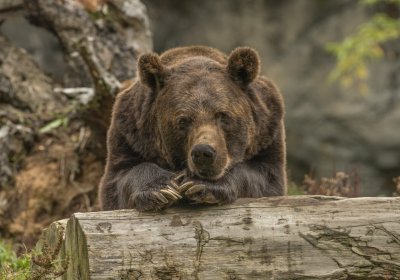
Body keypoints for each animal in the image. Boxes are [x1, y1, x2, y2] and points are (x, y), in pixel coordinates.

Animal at [100, 45, 288, 210]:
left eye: (223, 115)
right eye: (183, 120)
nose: (203, 153)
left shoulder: (267, 132)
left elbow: (264, 177)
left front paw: (201, 185)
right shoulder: (130, 133)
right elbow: (120, 178)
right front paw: (162, 189)